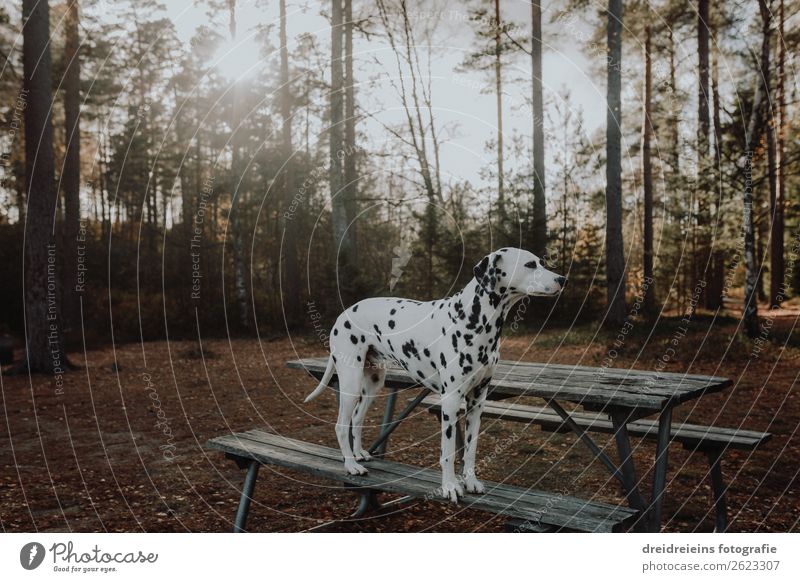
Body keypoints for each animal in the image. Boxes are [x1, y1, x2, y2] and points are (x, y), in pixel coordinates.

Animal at [304, 249, 564, 504]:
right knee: (341, 425)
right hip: (350, 383)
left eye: (541, 262)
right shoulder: (450, 401)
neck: (473, 320)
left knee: (356, 419)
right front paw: (450, 486)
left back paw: (358, 454)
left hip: (372, 384)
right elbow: (447, 452)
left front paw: (471, 481)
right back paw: (350, 465)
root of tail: (343, 314)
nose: (562, 279)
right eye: (530, 264)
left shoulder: (477, 400)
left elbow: (470, 449)